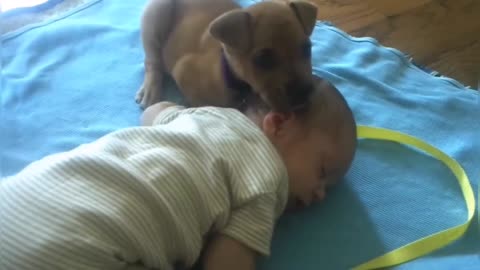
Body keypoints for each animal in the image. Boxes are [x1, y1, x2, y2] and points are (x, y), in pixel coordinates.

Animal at [135, 0, 318, 112]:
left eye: (307, 49)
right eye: (263, 59)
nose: (304, 92)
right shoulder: (183, 70)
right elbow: (202, 104)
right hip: (157, 11)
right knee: (152, 61)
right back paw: (150, 89)